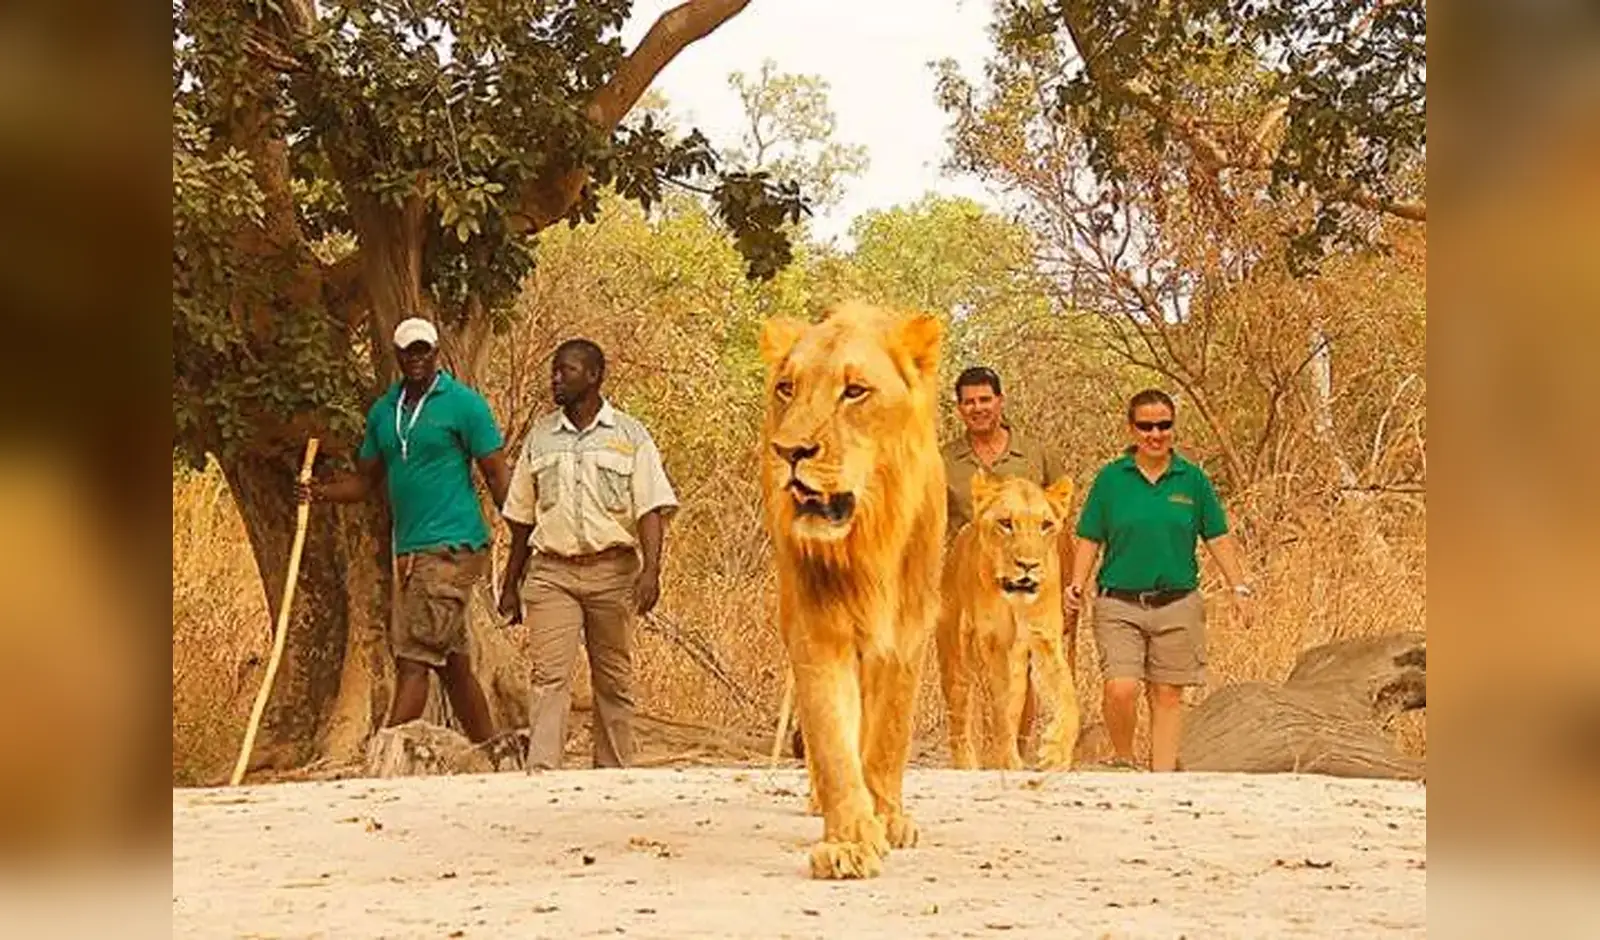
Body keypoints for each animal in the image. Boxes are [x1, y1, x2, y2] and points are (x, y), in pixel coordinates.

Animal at [757, 300, 946, 880]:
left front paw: (887, 818)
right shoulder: (817, 629)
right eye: (787, 388)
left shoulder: (907, 632)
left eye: (855, 391)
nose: (788, 451)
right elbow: (832, 739)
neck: (867, 541)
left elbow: (888, 737)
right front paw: (849, 841)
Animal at [936, 472, 1081, 772]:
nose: (1028, 565)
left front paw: (1055, 753)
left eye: (1046, 525)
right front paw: (1007, 760)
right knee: (959, 723)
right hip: (956, 663)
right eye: (1005, 523)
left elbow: (1068, 698)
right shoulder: (991, 644)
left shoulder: (1045, 641)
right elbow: (1000, 710)